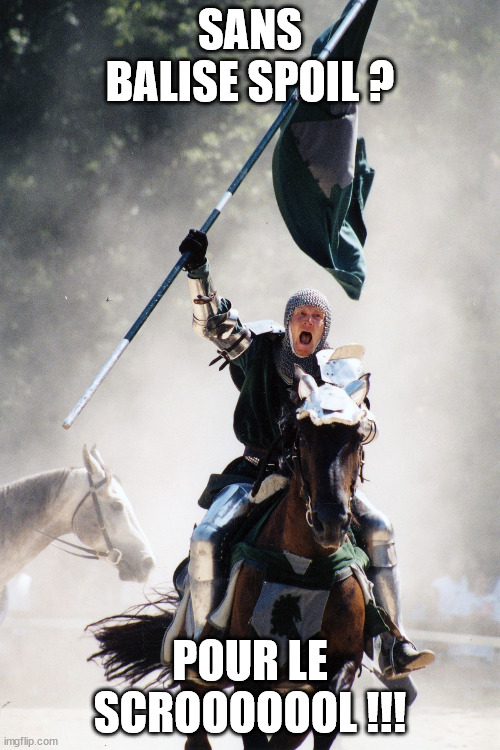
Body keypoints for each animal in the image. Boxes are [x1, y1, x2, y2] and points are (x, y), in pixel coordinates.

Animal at [89, 366, 377, 750]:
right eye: (302, 438)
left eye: (357, 440)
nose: (330, 522)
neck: (302, 565)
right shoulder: (251, 678)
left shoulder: (340, 667)